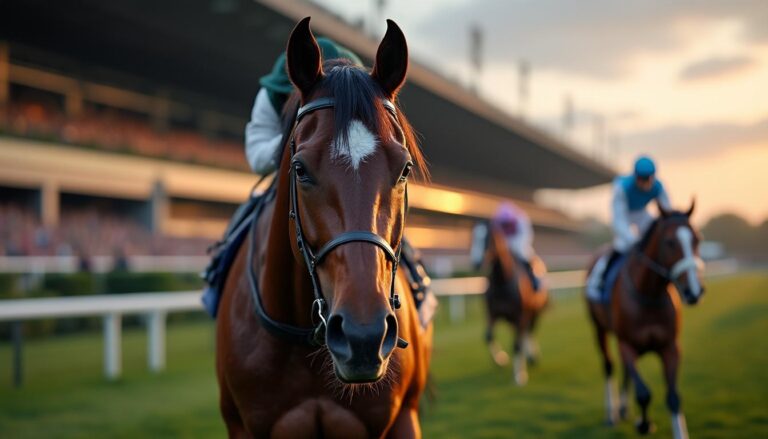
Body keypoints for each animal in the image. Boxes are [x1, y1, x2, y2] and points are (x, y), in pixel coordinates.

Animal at [482, 222, 548, 386]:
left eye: (489, 239)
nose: (477, 262)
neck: (503, 282)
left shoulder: (520, 314)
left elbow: (517, 344)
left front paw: (519, 376)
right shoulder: (493, 313)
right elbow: (488, 336)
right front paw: (501, 360)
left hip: (534, 312)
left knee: (529, 331)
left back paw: (532, 357)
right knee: (523, 333)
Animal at [585, 200, 704, 438]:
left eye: (697, 238)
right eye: (670, 242)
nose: (694, 291)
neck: (648, 294)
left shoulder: (670, 346)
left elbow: (673, 397)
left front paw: (679, 432)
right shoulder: (627, 344)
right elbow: (643, 393)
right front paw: (644, 424)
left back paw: (622, 409)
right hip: (599, 328)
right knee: (609, 365)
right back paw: (612, 414)